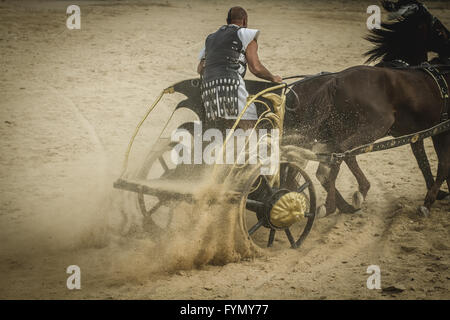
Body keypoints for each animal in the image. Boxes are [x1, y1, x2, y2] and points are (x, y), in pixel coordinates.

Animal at [284, 0, 450, 216]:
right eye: (438, 29)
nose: (449, 48)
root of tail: (335, 81)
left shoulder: (415, 133)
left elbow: (423, 162)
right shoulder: (435, 130)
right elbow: (440, 163)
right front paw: (432, 198)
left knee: (316, 165)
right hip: (371, 127)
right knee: (339, 155)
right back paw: (345, 200)